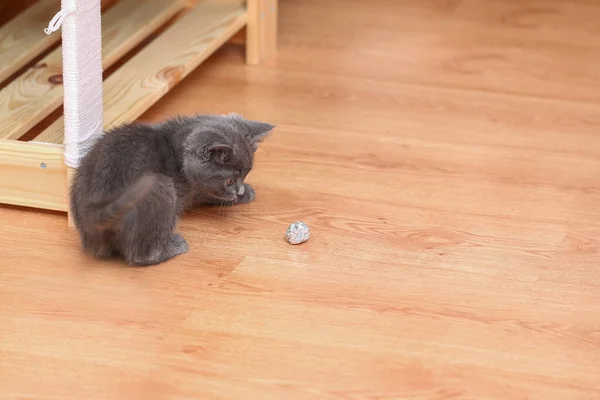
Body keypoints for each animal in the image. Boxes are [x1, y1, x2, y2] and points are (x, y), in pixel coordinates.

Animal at [69, 112, 274, 268]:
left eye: (245, 175)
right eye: (230, 180)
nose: (239, 191)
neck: (178, 154)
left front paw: (245, 192)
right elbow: (209, 191)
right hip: (162, 187)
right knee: (140, 255)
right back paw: (173, 247)